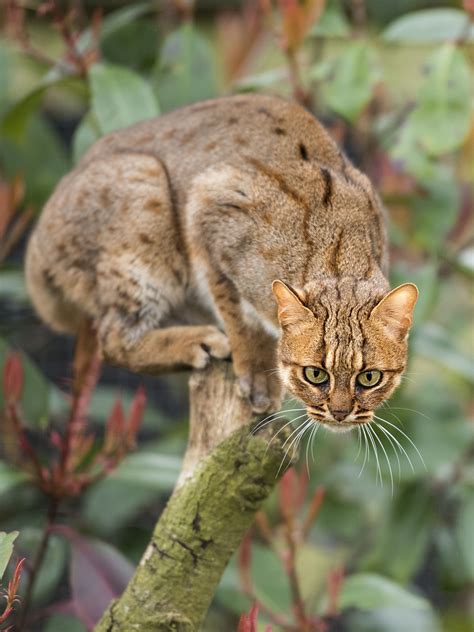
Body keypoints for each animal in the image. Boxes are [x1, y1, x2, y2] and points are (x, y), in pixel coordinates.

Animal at [25, 94, 418, 430]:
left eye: (370, 378)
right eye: (315, 373)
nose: (340, 413)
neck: (341, 261)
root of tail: (35, 243)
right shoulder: (209, 207)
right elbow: (236, 308)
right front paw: (258, 370)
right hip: (145, 189)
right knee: (111, 341)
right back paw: (194, 342)